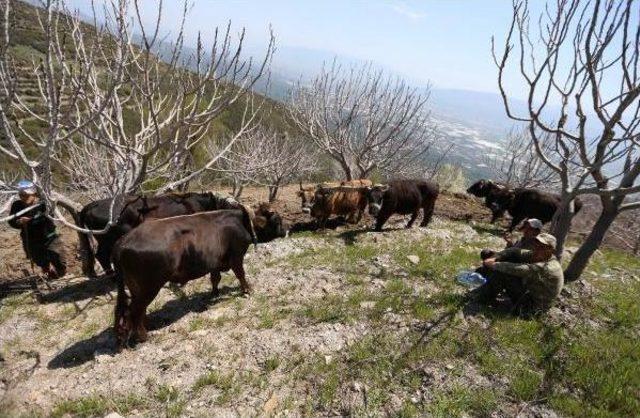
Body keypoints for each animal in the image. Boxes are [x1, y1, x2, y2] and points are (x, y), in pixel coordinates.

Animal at [112, 209, 255, 350]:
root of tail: (122, 242)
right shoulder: (236, 256)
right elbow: (240, 274)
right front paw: (247, 290)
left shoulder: (213, 262)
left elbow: (215, 278)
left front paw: (214, 293)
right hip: (148, 287)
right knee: (133, 312)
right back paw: (144, 337)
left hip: (137, 289)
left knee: (134, 311)